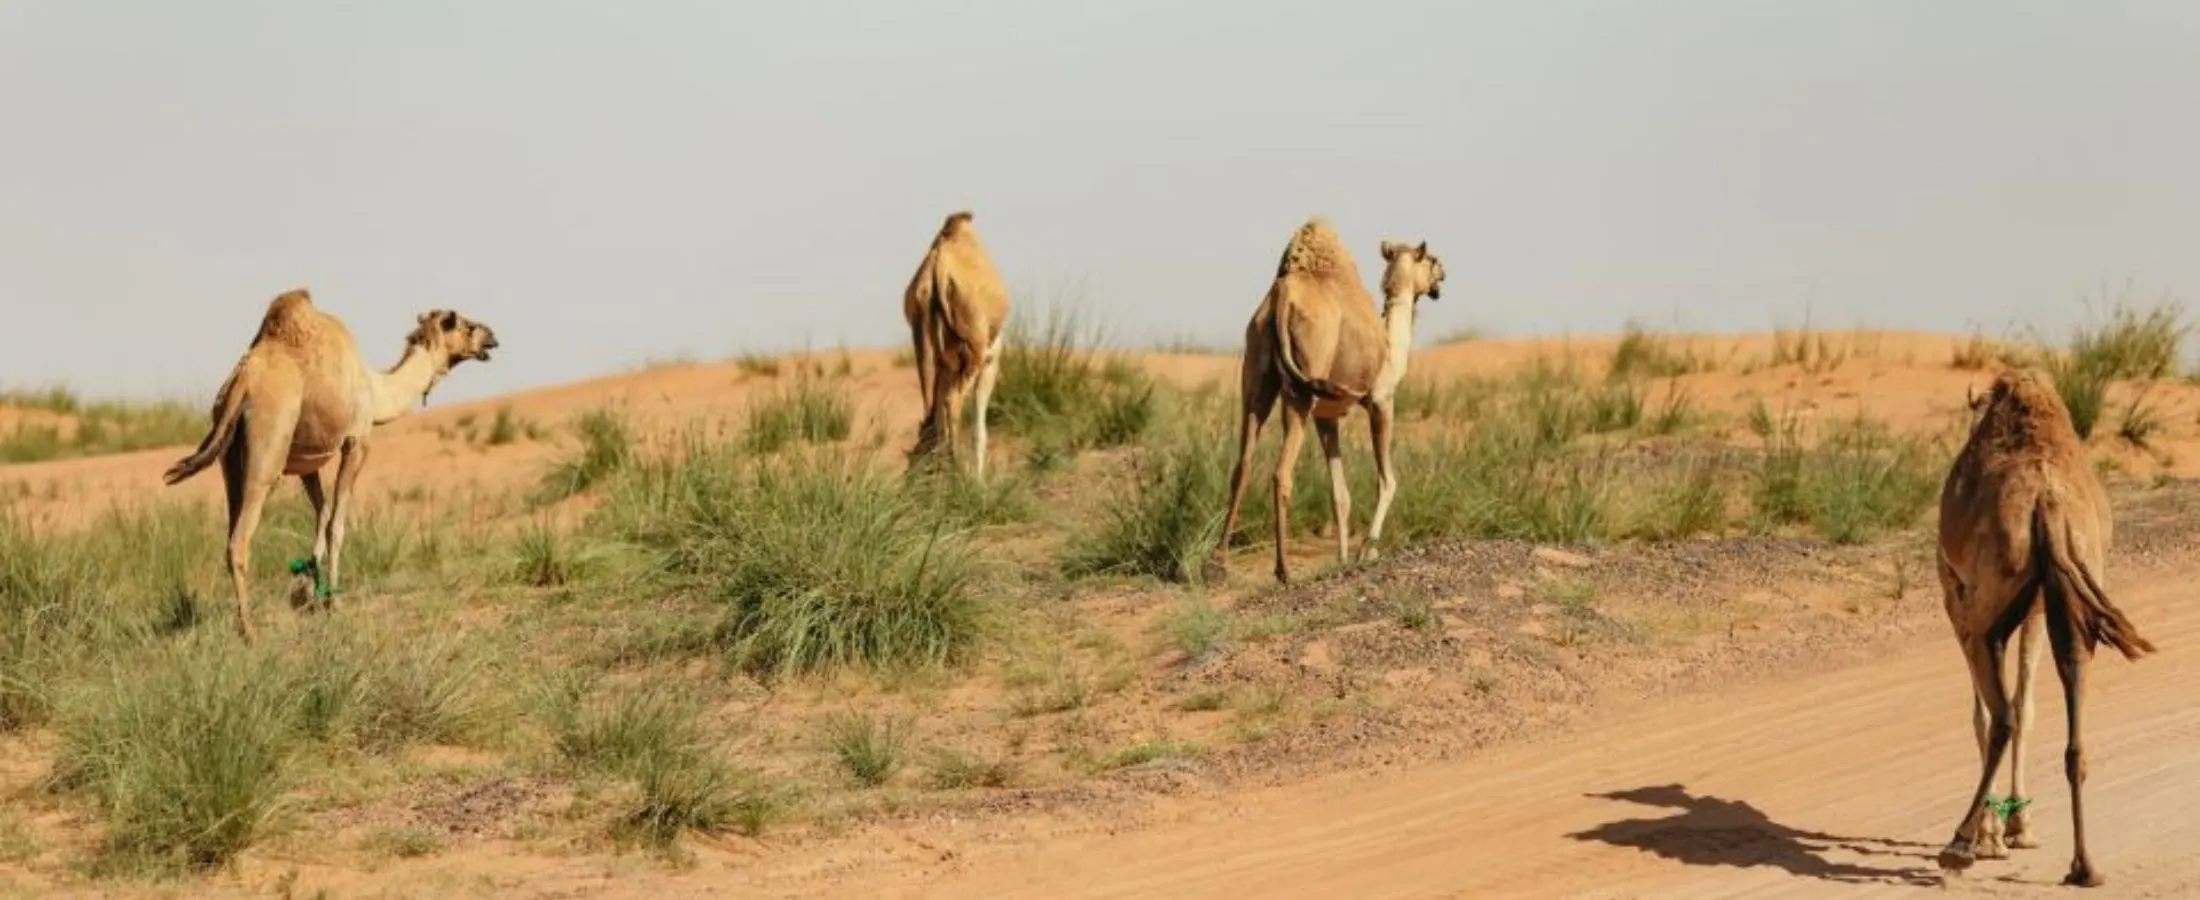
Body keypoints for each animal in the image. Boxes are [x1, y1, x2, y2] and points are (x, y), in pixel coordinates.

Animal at [161, 288, 499, 638]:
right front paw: (333, 602)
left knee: (231, 524)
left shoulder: (307, 462)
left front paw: (307, 590)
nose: (492, 338)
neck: (376, 389)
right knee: (240, 538)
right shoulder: (356, 442)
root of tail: (241, 383)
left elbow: (321, 515)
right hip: (268, 445)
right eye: (467, 325)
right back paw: (249, 631)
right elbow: (337, 522)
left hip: (228, 455)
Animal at [902, 210, 1012, 479]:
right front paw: (978, 481)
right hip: (975, 353)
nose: (909, 480)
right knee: (953, 403)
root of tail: (937, 273)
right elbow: (979, 430)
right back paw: (960, 472)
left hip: (923, 344)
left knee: (933, 409)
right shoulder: (991, 357)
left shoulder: (947, 363)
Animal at [1205, 217, 1443, 580]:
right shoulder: (1381, 400)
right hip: (1300, 390)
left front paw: (1343, 558)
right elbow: (1387, 480)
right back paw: (1284, 570)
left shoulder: (1327, 417)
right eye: (1431, 259)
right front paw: (1366, 550)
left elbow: (1339, 493)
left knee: (1243, 463)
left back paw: (1219, 562)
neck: (1391, 346)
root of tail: (1281, 296)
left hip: (1256, 378)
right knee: (1281, 472)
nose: (1443, 275)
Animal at [1944, 367, 2147, 884]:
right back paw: (2084, 866)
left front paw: (1997, 833)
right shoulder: (2037, 604)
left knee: (2001, 715)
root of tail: (2047, 502)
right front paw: (2020, 826)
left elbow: (1988, 711)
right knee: (2068, 715)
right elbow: (2028, 703)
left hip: (1981, 606)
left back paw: (1961, 843)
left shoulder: (1955, 592)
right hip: (2077, 585)